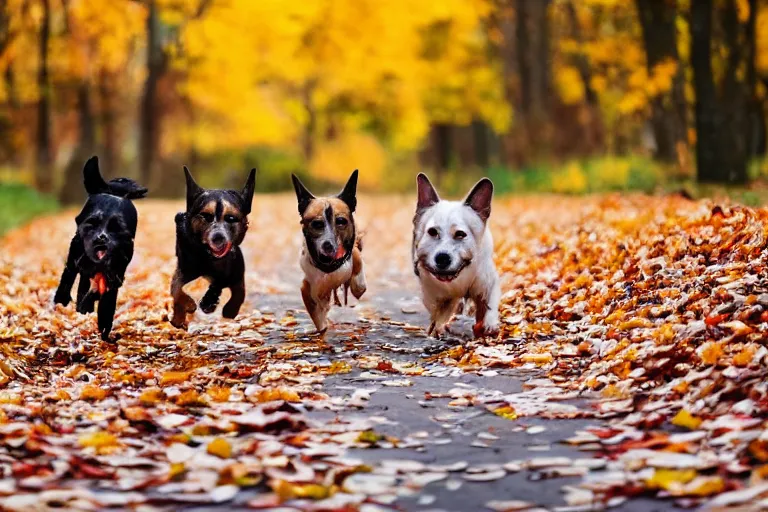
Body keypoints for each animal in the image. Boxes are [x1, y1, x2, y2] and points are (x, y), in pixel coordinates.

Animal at [53, 156, 148, 340]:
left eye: (116, 229)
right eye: (92, 224)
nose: (102, 237)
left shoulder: (115, 278)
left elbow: (104, 301)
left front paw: (102, 324)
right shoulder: (78, 262)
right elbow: (74, 280)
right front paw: (74, 303)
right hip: (74, 255)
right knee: (69, 276)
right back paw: (64, 299)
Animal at [171, 166, 258, 330]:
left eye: (231, 218)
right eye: (206, 216)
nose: (218, 237)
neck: (209, 258)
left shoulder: (235, 273)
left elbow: (235, 290)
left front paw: (215, 304)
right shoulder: (183, 270)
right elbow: (176, 289)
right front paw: (184, 310)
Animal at [292, 172, 368, 332]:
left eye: (341, 221)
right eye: (316, 224)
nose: (328, 245)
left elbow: (358, 281)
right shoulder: (309, 287)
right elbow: (319, 318)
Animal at [412, 174, 500, 338]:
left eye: (460, 234)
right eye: (432, 232)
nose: (442, 257)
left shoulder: (488, 283)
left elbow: (489, 304)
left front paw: (489, 324)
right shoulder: (434, 297)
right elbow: (439, 314)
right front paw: (439, 327)